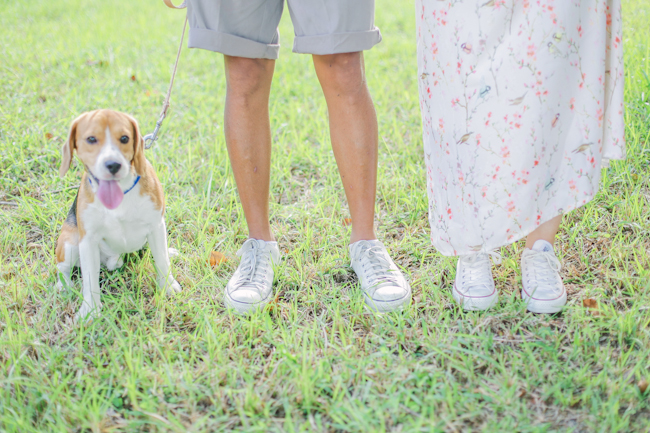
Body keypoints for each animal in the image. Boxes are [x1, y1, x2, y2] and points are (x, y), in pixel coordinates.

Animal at [56, 109, 181, 322]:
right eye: (91, 139)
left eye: (124, 138)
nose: (113, 165)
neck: (122, 191)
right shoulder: (87, 240)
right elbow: (90, 280)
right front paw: (90, 310)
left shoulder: (156, 226)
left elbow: (162, 261)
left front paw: (167, 286)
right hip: (70, 243)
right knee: (62, 269)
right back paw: (63, 286)